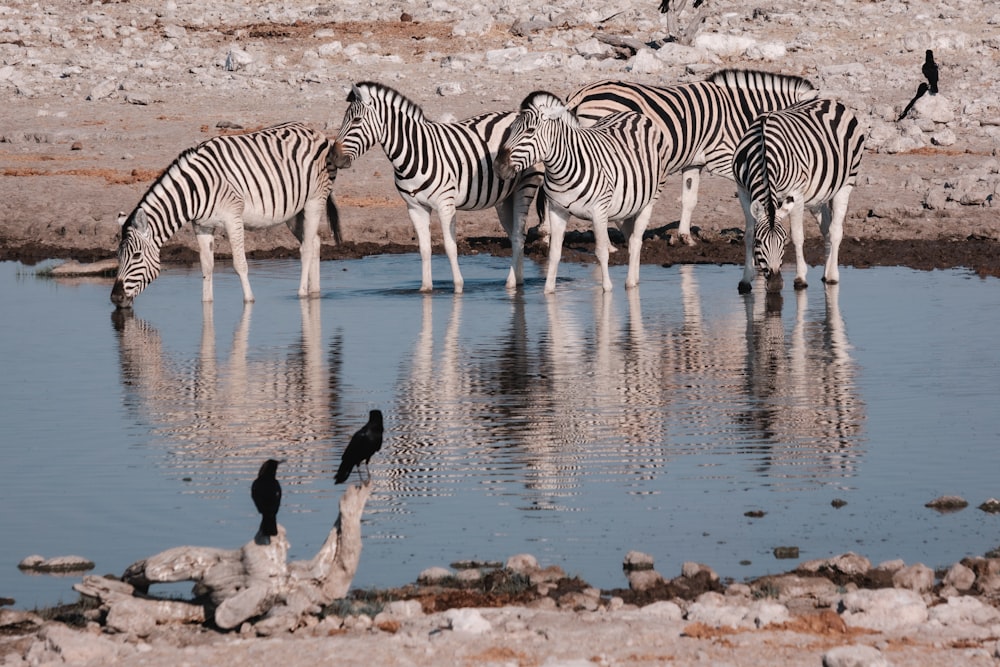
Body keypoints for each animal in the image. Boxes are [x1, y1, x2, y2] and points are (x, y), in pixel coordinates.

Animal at [111, 121, 340, 310]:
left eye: (136, 256)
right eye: (118, 256)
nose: (115, 298)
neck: (196, 189)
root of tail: (314, 131)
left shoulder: (233, 218)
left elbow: (240, 264)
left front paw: (249, 301)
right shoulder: (201, 225)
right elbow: (207, 266)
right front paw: (206, 303)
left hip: (314, 200)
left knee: (307, 247)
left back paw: (302, 293)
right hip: (293, 211)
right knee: (315, 241)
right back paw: (315, 292)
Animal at [330, 81, 540, 292]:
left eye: (356, 120)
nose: (334, 157)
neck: (414, 154)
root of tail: (516, 114)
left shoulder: (445, 205)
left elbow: (450, 246)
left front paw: (458, 287)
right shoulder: (415, 207)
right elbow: (424, 248)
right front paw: (425, 289)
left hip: (525, 187)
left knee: (519, 235)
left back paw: (511, 283)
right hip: (504, 199)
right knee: (514, 235)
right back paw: (518, 281)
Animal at [494, 90, 668, 294]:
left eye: (530, 131)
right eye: (510, 129)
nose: (498, 166)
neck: (561, 170)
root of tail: (636, 114)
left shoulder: (598, 211)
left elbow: (601, 252)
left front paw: (607, 289)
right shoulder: (557, 210)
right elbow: (554, 253)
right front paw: (548, 291)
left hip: (648, 201)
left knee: (635, 239)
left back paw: (631, 283)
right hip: (624, 205)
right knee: (631, 238)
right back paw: (635, 278)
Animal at [568, 69, 816, 247]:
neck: (738, 111)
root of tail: (582, 93)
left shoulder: (694, 163)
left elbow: (689, 199)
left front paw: (684, 237)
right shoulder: (721, 157)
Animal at [732, 96, 864, 292]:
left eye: (783, 242)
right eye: (759, 243)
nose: (775, 284)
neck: (763, 149)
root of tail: (833, 101)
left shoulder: (796, 193)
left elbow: (798, 236)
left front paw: (800, 278)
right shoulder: (742, 190)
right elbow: (748, 234)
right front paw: (745, 279)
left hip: (846, 182)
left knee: (835, 230)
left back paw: (832, 276)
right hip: (817, 197)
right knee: (826, 229)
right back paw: (825, 274)